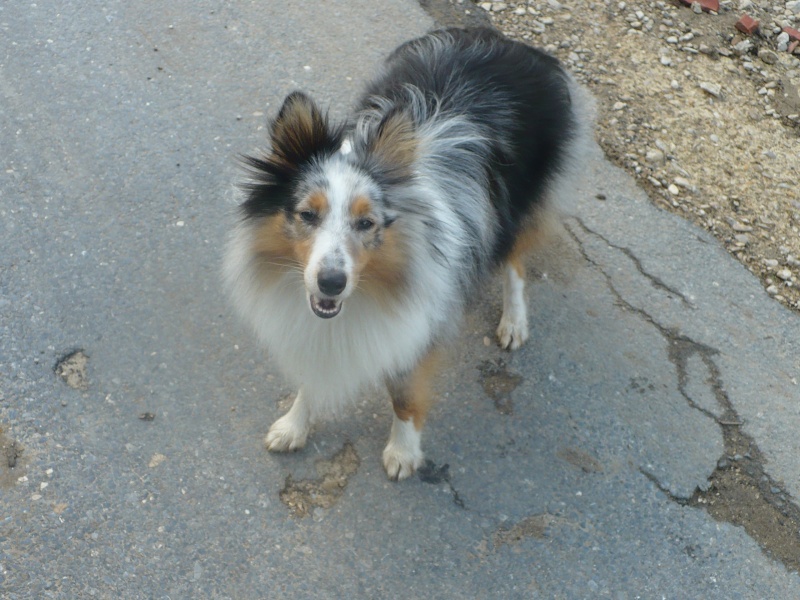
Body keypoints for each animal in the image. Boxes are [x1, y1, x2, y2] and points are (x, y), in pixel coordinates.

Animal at [225, 27, 592, 478]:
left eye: (367, 223)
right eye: (307, 214)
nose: (332, 283)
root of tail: (508, 41)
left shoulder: (419, 324)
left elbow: (403, 394)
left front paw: (402, 452)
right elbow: (313, 375)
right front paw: (294, 425)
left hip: (518, 207)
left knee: (514, 263)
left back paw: (514, 321)